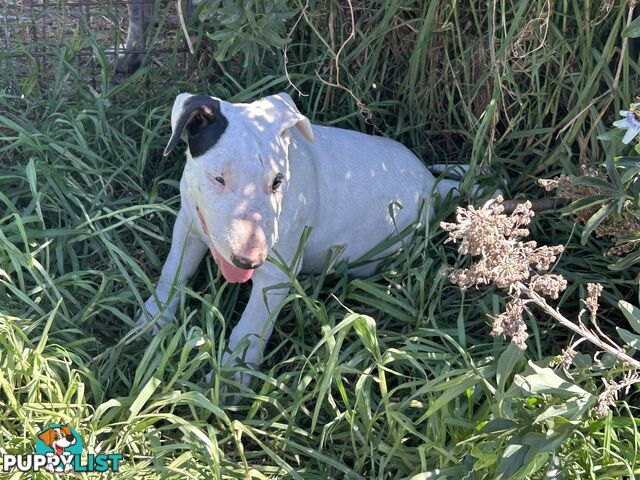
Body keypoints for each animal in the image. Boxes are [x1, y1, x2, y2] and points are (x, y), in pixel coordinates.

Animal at [138, 93, 462, 386]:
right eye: (218, 178)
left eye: (277, 182)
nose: (249, 261)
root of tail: (432, 185)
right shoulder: (189, 224)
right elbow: (172, 273)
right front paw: (152, 321)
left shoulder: (276, 276)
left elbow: (251, 326)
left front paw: (232, 377)